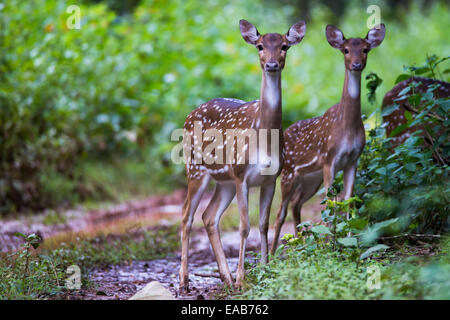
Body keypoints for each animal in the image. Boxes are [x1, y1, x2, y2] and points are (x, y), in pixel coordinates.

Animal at [179, 18, 306, 292]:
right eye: (259, 46)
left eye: (284, 46)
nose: (271, 64)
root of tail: (189, 115)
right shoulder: (241, 176)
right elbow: (244, 227)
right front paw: (241, 279)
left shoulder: (270, 179)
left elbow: (263, 225)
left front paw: (264, 271)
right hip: (195, 168)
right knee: (186, 216)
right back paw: (184, 281)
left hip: (224, 181)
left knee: (208, 217)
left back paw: (224, 277)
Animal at [268, 23, 384, 252]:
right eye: (346, 50)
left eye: (366, 49)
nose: (356, 64)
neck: (347, 128)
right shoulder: (330, 159)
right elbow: (332, 203)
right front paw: (332, 243)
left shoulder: (353, 160)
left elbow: (348, 200)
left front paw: (348, 239)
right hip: (289, 173)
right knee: (280, 212)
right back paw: (275, 253)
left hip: (311, 178)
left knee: (296, 204)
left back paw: (301, 244)